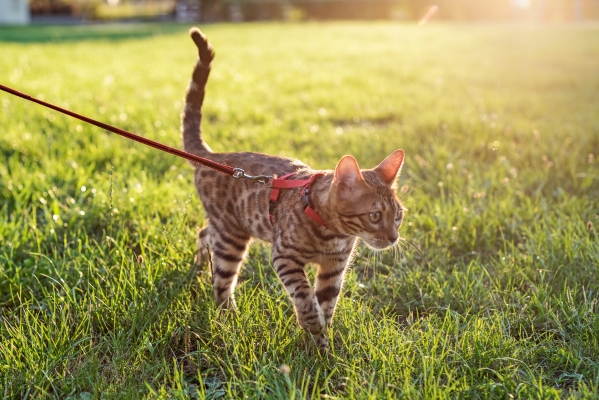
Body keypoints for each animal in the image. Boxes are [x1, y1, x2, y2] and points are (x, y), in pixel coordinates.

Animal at [183, 28, 408, 348]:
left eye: (398, 215)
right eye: (375, 216)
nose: (393, 238)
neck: (332, 233)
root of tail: (215, 156)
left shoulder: (335, 267)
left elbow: (327, 302)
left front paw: (322, 344)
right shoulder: (285, 256)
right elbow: (304, 295)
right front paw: (312, 326)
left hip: (227, 228)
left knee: (205, 234)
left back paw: (201, 266)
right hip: (232, 236)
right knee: (223, 280)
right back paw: (229, 318)